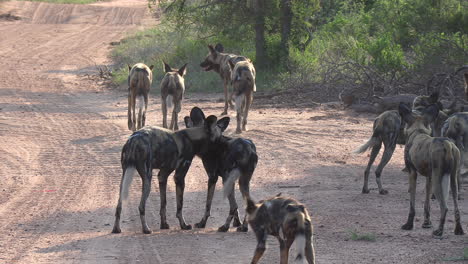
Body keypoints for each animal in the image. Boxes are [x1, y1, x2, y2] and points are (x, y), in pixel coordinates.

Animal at [398, 102, 464, 237]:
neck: (418, 131)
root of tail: (447, 143)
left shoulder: (412, 173)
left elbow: (412, 205)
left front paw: (409, 225)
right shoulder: (429, 177)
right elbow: (426, 205)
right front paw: (427, 223)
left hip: (438, 181)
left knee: (445, 207)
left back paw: (439, 231)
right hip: (452, 180)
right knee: (456, 207)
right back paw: (458, 230)